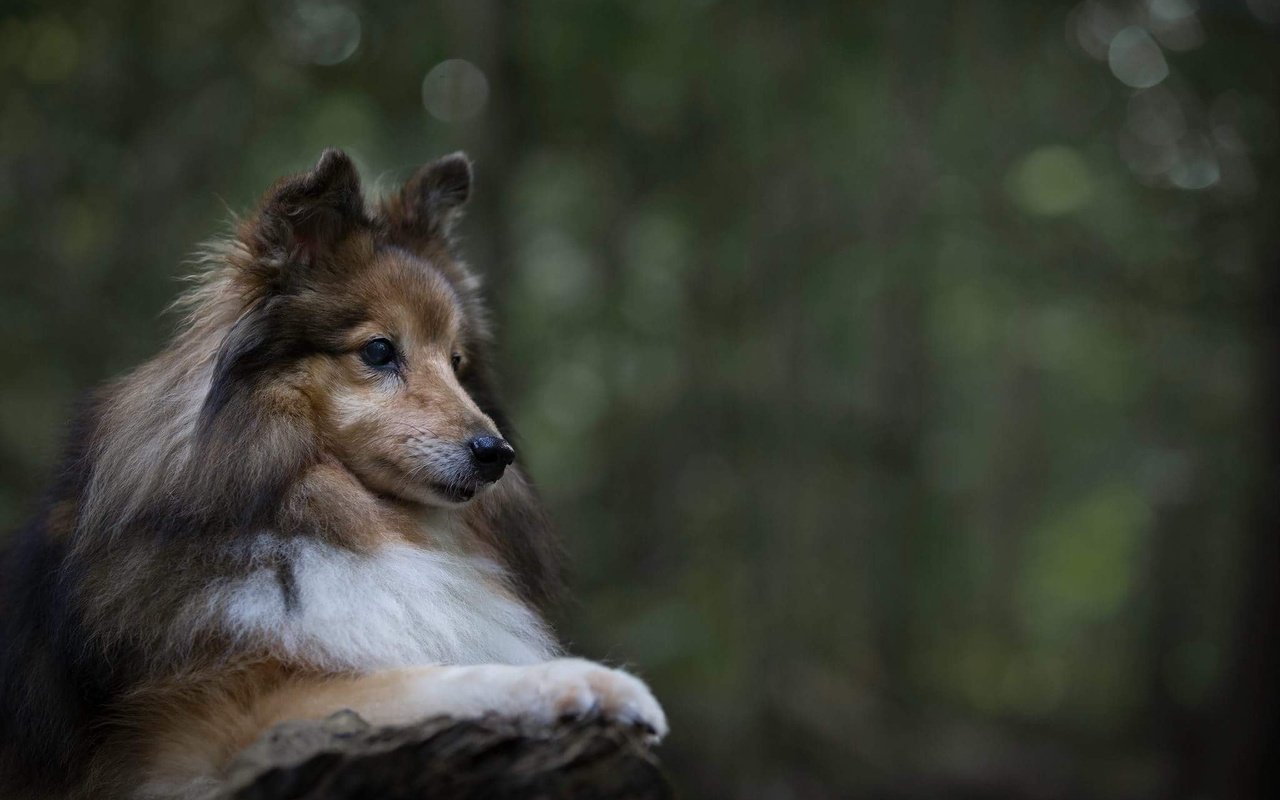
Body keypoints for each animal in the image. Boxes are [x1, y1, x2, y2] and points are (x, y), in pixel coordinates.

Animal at [2, 151, 670, 798]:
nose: (496, 454)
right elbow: (437, 677)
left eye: (456, 362)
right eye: (378, 351)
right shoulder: (231, 721)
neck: (304, 512)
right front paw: (598, 683)